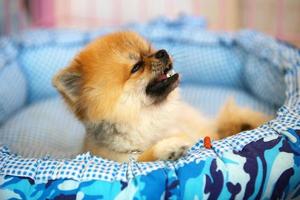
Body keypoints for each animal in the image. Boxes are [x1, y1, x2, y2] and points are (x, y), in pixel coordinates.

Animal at [52, 31, 270, 162]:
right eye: (136, 67)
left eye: (150, 51)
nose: (162, 52)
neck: (148, 119)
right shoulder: (119, 160)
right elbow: (142, 158)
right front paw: (167, 148)